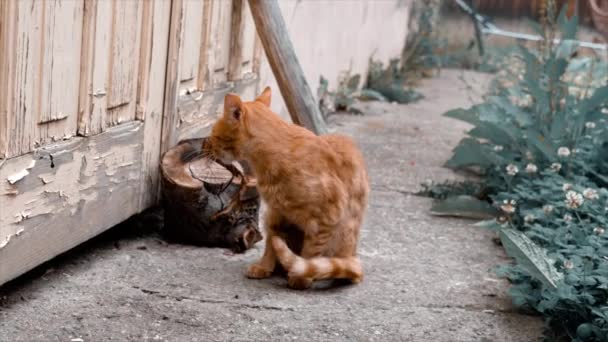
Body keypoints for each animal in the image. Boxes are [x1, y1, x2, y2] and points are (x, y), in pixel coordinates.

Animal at [202, 87, 368, 288]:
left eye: (214, 133)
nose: (206, 145)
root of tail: (353, 257)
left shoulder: (325, 218)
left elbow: (310, 254)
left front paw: (300, 278)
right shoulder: (276, 214)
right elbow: (271, 244)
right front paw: (264, 267)